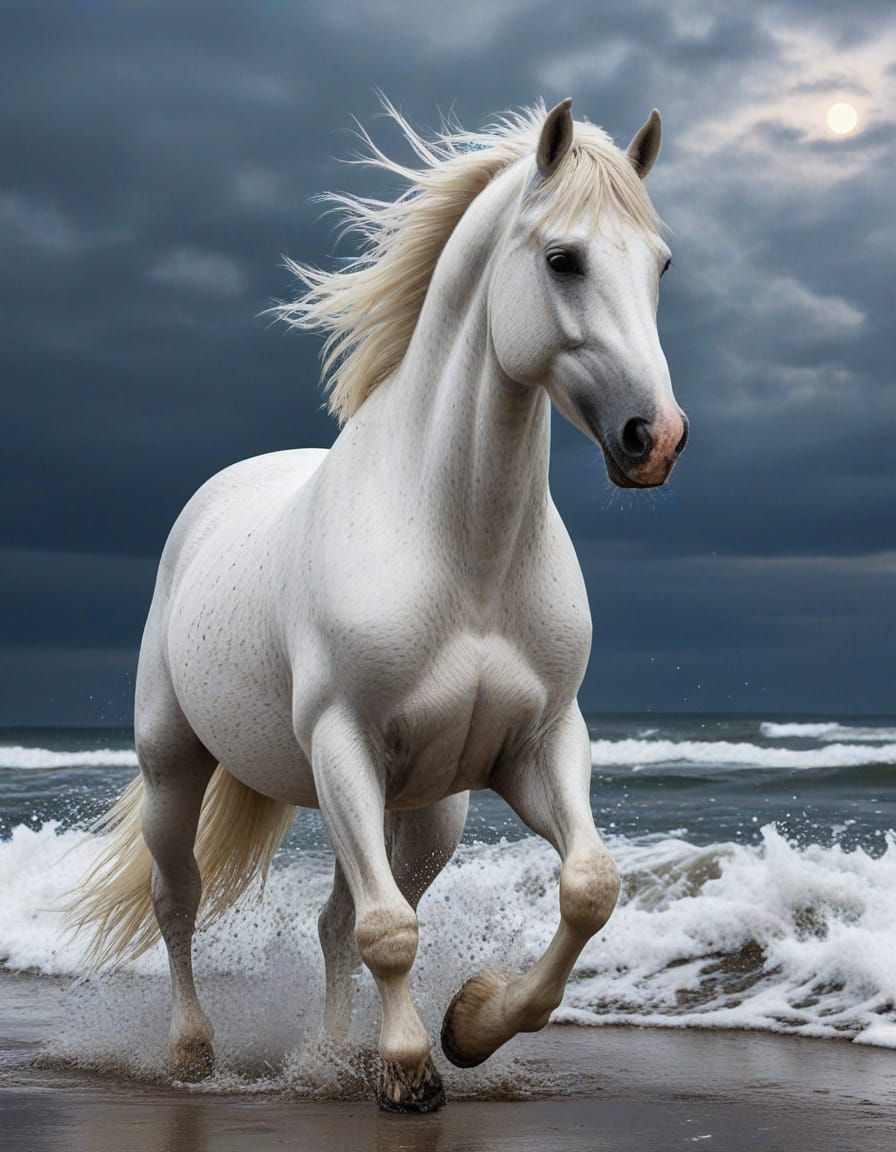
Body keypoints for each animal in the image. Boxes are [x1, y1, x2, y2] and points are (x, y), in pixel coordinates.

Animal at [66, 97, 688, 1113]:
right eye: (564, 258)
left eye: (661, 264)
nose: (656, 438)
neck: (463, 556)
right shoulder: (341, 742)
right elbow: (388, 931)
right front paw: (408, 1069)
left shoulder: (540, 742)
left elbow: (588, 887)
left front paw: (470, 1024)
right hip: (174, 764)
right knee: (180, 898)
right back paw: (193, 1052)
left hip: (428, 813)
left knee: (336, 918)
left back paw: (328, 1058)